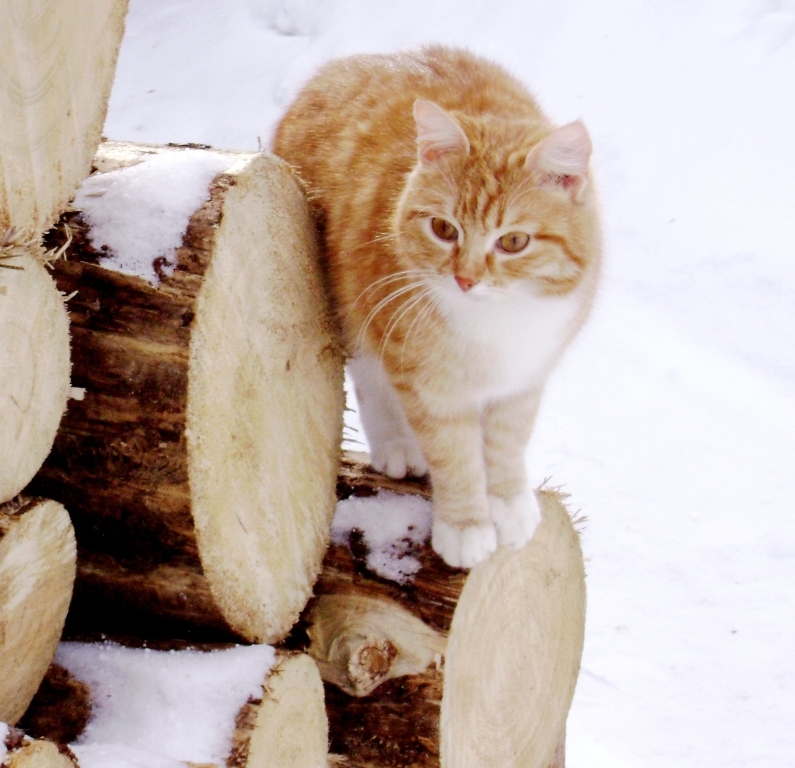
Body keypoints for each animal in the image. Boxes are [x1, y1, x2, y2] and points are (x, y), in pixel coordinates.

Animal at [270, 45, 600, 568]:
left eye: (514, 241)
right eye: (444, 229)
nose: (465, 279)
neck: (498, 320)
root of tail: (345, 63)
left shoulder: (528, 371)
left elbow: (509, 437)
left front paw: (508, 500)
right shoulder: (425, 377)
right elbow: (452, 449)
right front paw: (466, 524)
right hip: (356, 304)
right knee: (370, 376)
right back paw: (399, 442)